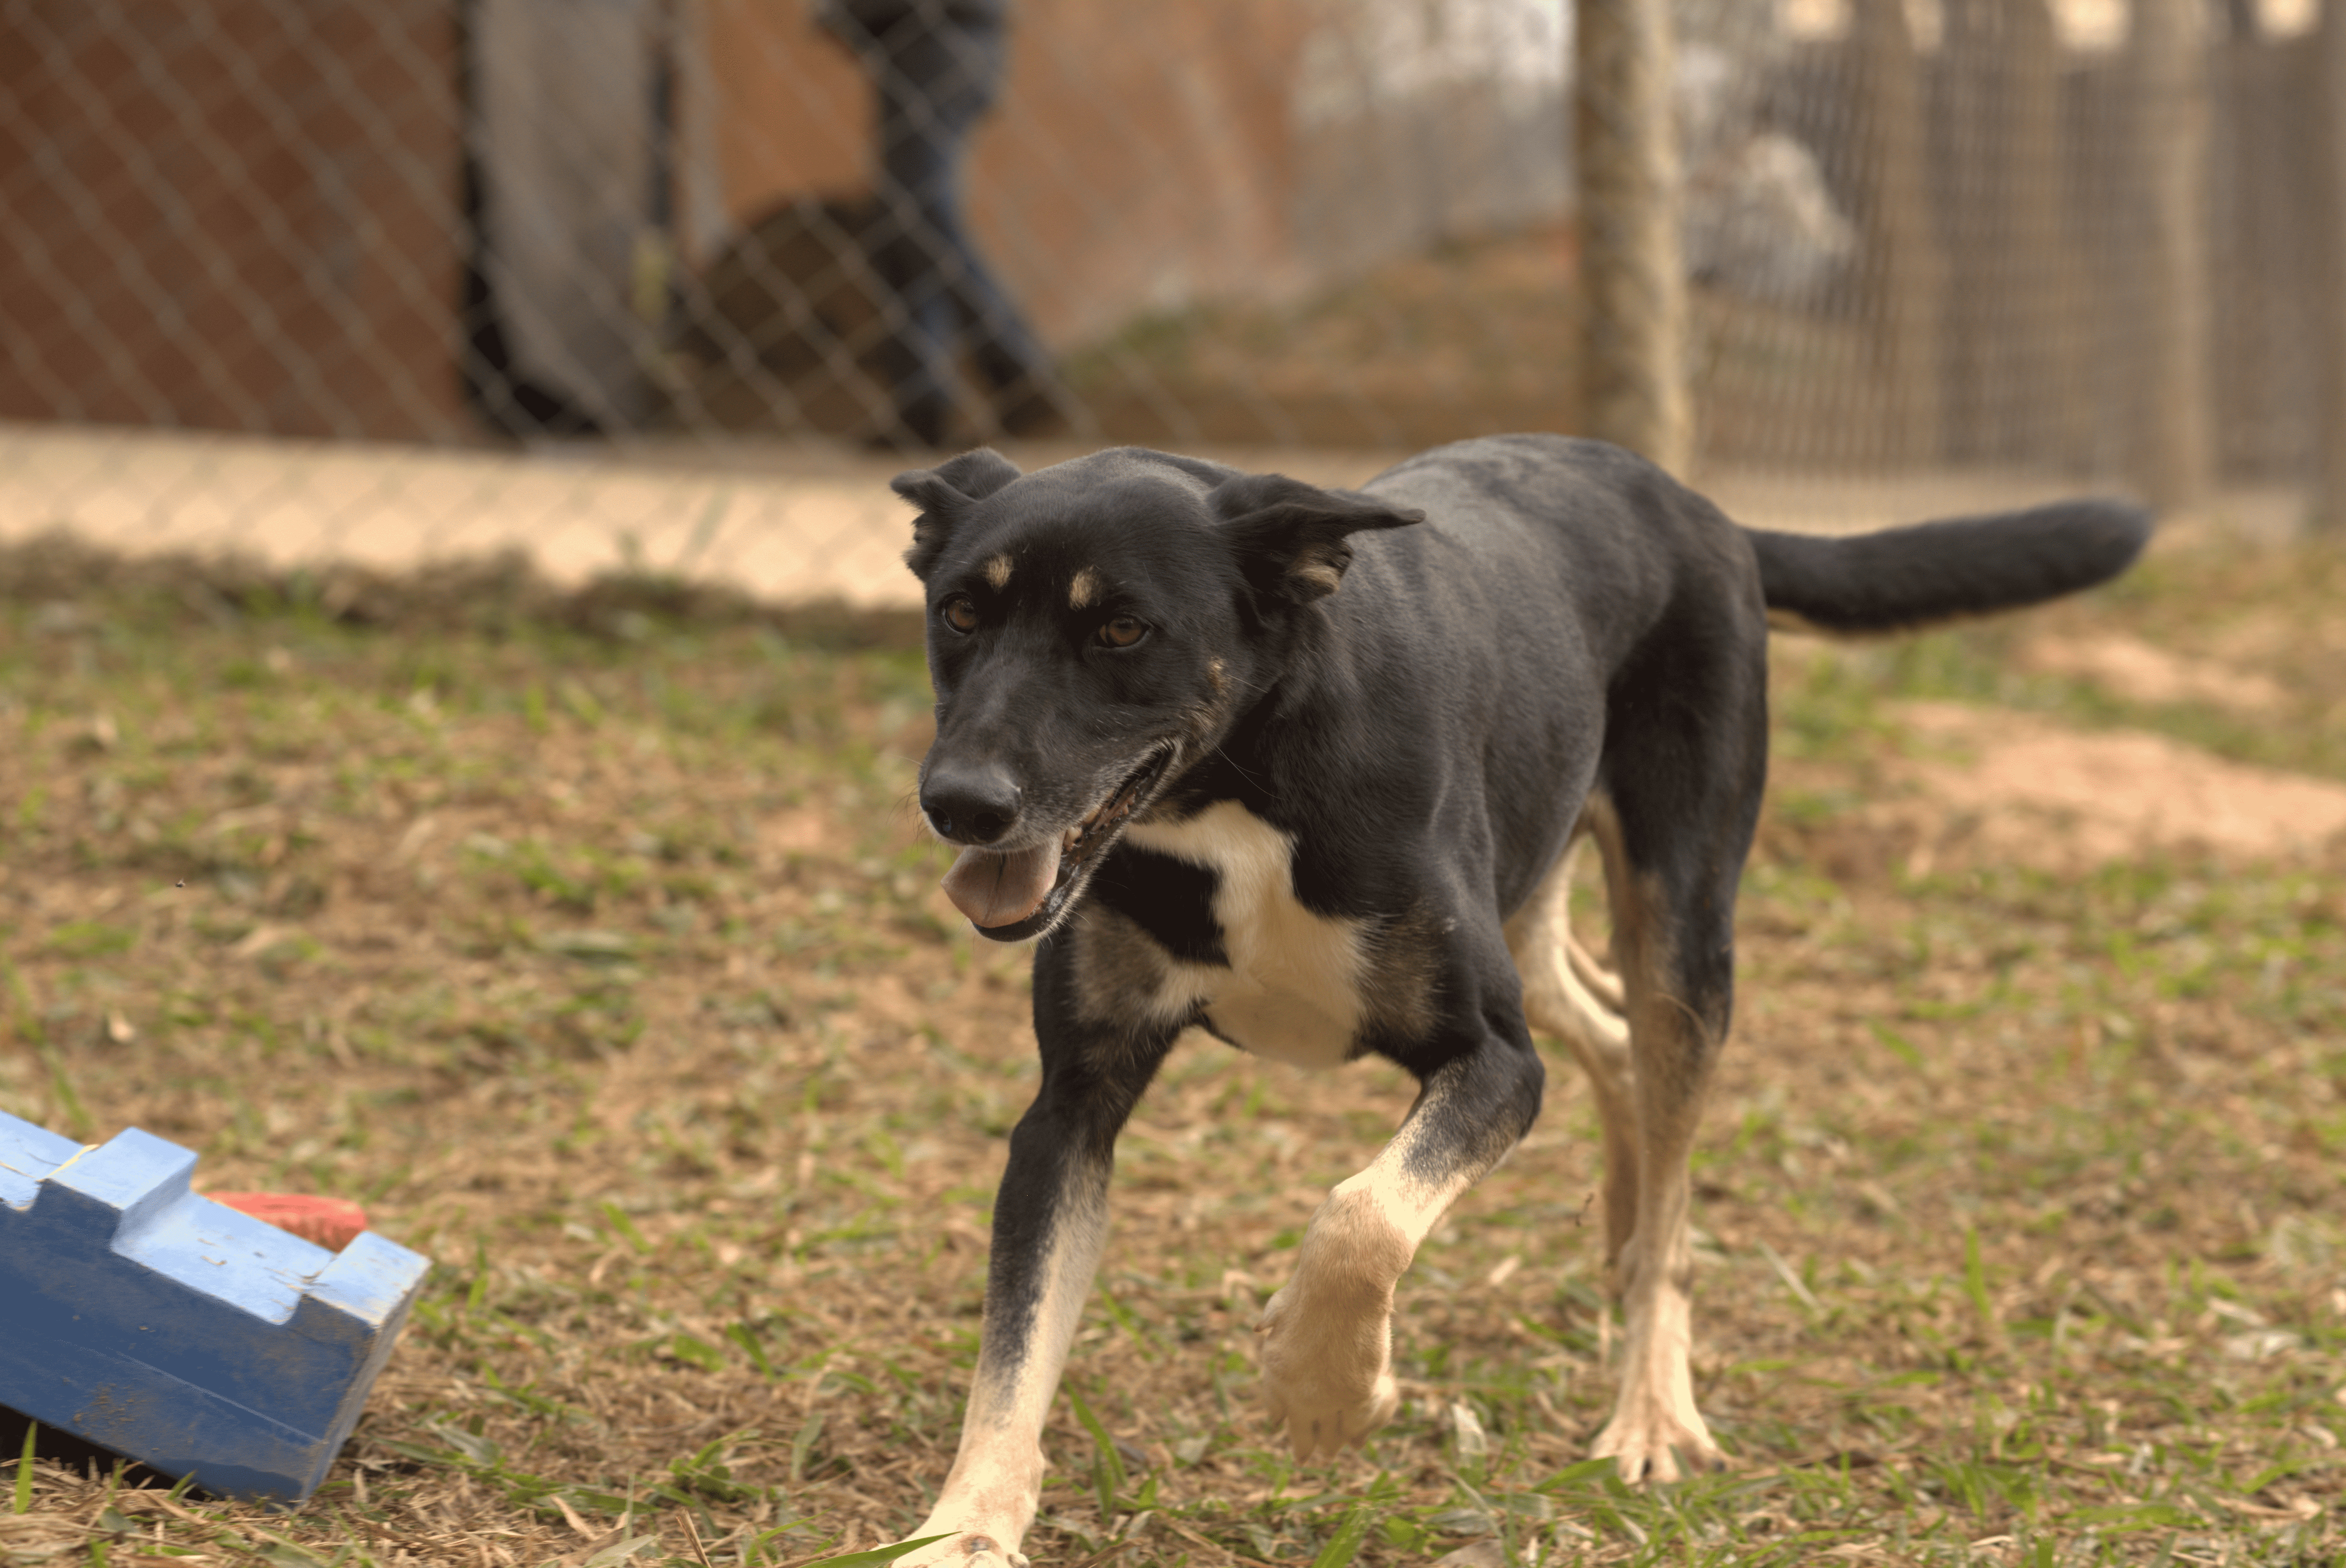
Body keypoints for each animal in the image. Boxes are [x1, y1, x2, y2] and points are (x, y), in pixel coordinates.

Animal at [882, 432, 2149, 1568]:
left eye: (1122, 629)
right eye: (960, 615)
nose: (960, 804)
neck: (1246, 774)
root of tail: (1692, 502)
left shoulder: (1493, 1057)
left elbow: (1364, 1216)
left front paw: (1323, 1389)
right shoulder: (1071, 1108)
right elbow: (1015, 1350)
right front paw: (961, 1532)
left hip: (1683, 921)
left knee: (1666, 1135)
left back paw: (1650, 1405)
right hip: (1536, 888)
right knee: (1611, 1039)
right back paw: (1623, 1226)